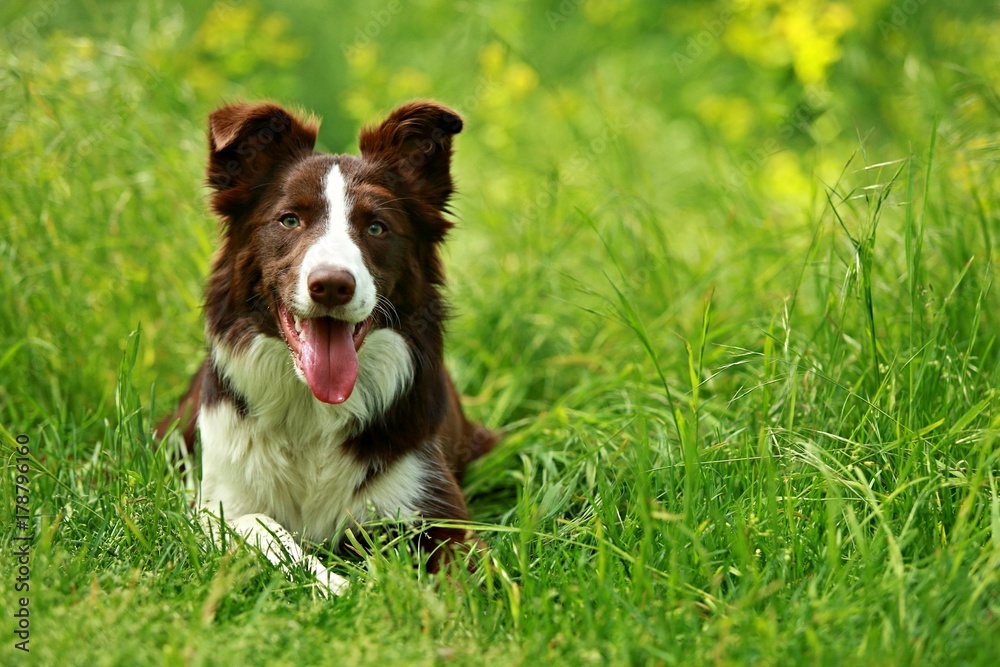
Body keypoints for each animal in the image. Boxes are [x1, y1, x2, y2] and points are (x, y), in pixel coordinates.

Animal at [156, 98, 496, 596]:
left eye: (376, 227)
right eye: (289, 220)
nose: (332, 285)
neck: (313, 411)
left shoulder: (434, 505)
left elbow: (464, 568)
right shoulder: (216, 504)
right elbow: (262, 528)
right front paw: (340, 587)